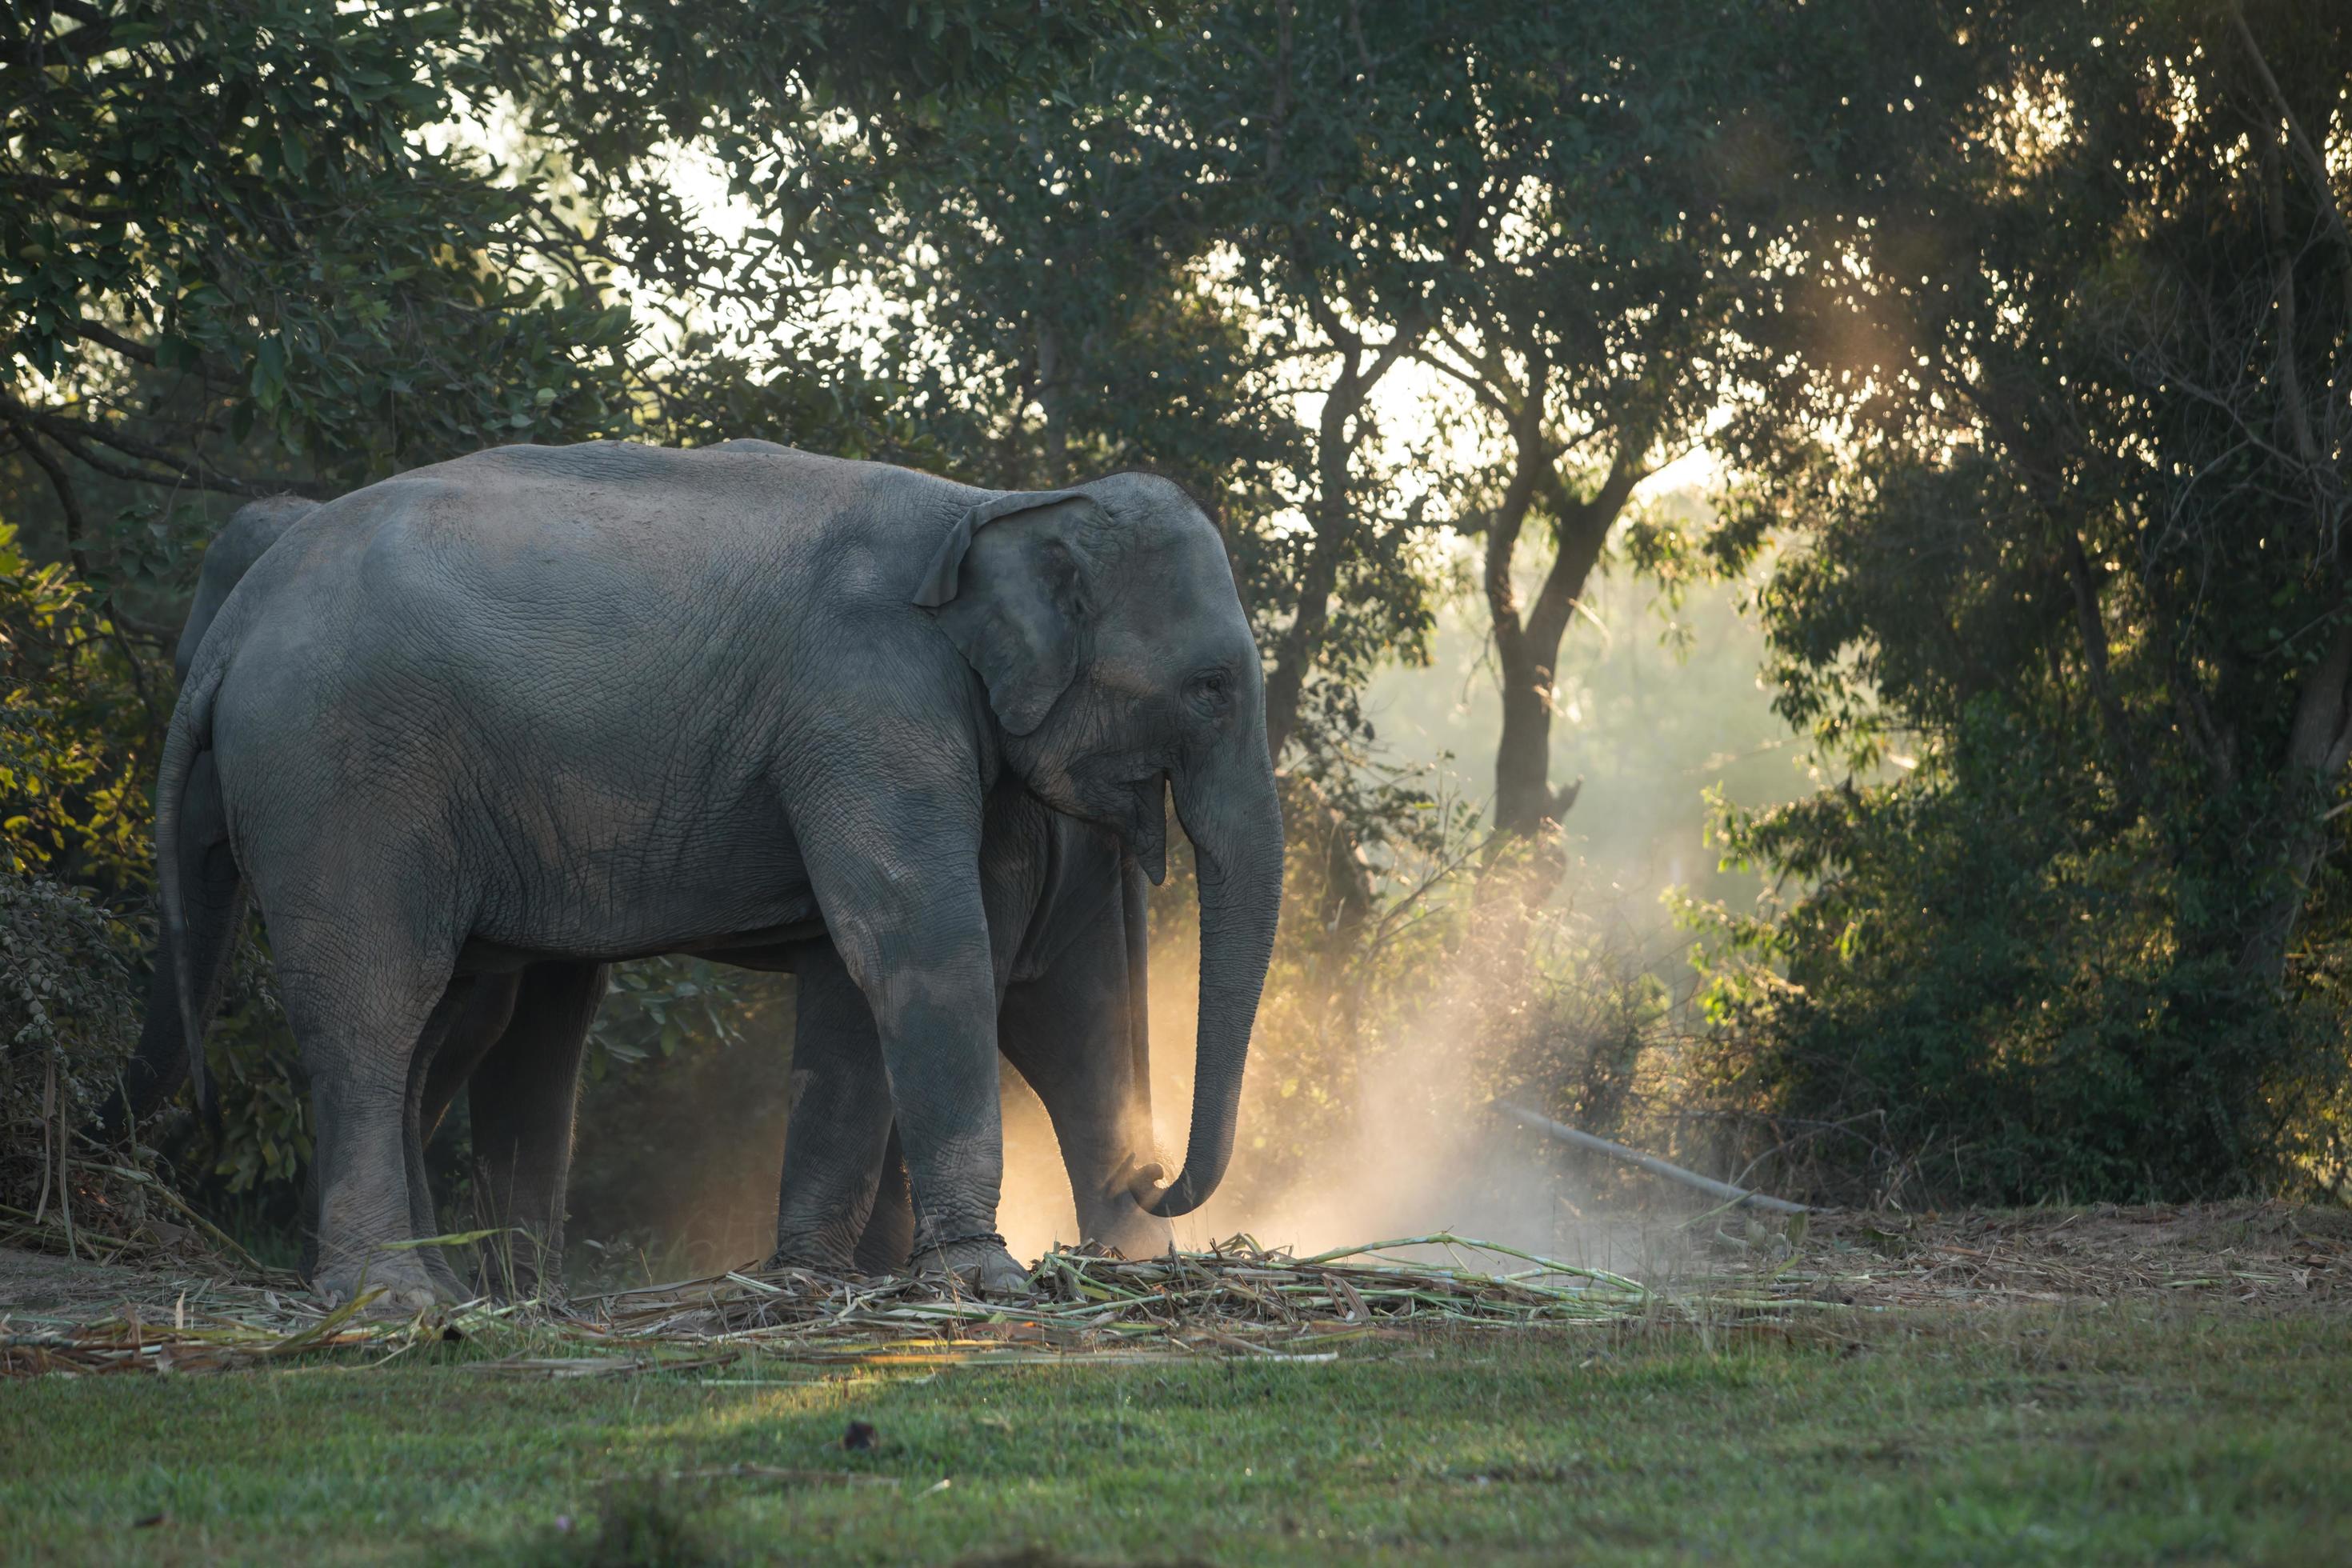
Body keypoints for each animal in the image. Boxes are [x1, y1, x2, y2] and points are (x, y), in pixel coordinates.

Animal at [154, 444, 1279, 1316]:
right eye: (1212, 687)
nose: (1162, 1176)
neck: (989, 503)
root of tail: (242, 622)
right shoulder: (867, 702)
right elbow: (919, 942)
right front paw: (978, 1283)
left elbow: (865, 968)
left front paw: (811, 1283)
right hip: (344, 784)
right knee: (377, 1009)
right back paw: (393, 1299)